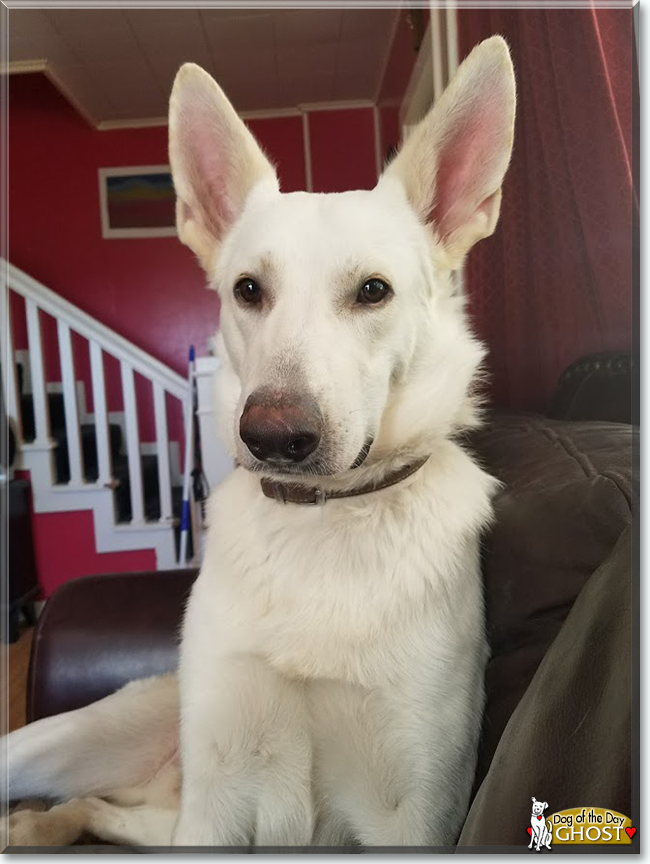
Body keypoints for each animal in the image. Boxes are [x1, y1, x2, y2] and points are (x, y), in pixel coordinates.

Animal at [2, 37, 512, 848]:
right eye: (248, 290)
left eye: (373, 291)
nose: (272, 436)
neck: (321, 520)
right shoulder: (213, 807)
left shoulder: (415, 815)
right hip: (84, 749)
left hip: (153, 815)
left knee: (94, 808)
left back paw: (34, 828)